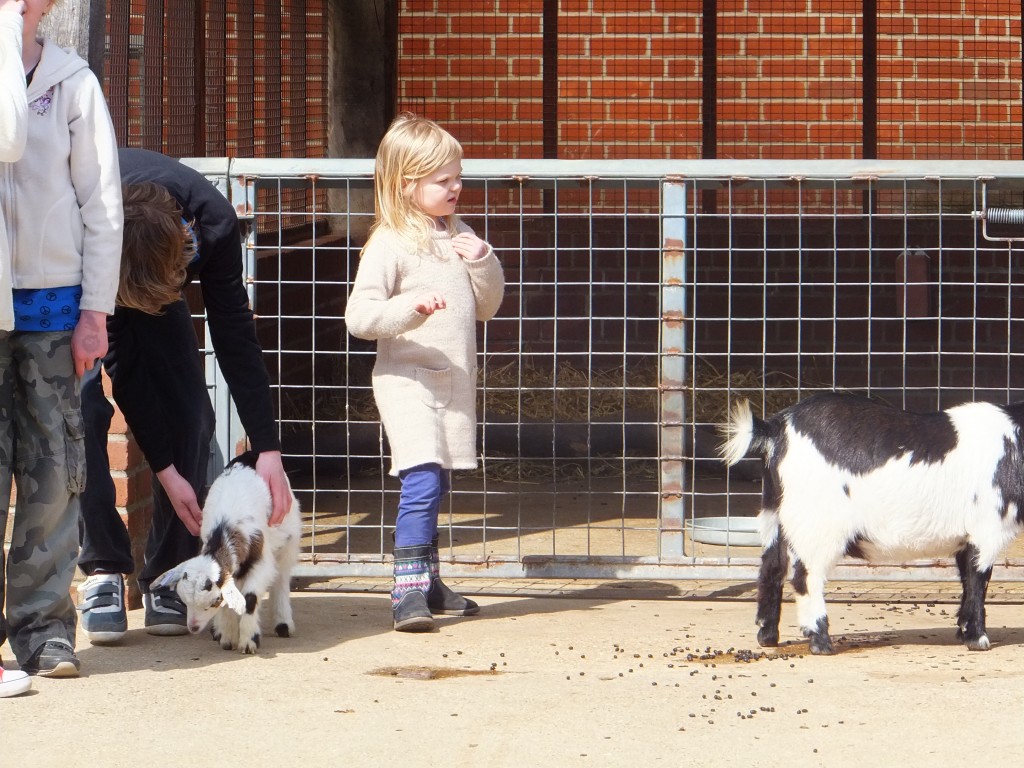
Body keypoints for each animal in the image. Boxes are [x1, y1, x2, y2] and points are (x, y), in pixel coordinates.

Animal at [149, 454, 299, 659]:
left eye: (212, 603)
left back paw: (283, 624)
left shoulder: (261, 562)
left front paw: (248, 641)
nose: (193, 628)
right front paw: (227, 636)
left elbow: (250, 597)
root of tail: (248, 455)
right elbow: (232, 598)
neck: (224, 530)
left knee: (282, 579)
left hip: (288, 536)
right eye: (184, 602)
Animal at [720, 397, 1024, 655]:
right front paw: (978, 640)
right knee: (804, 577)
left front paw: (963, 632)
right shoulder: (987, 529)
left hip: (774, 517)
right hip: (816, 526)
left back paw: (768, 637)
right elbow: (978, 580)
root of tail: (775, 430)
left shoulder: (966, 537)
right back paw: (821, 643)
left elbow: (966, 580)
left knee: (771, 569)